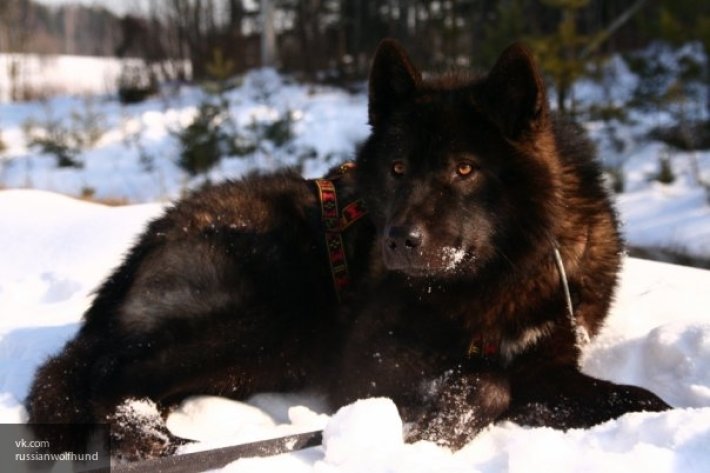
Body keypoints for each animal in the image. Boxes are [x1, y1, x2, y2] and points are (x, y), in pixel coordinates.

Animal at [29, 40, 672, 458]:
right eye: (397, 168)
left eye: (464, 169)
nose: (397, 241)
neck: (494, 279)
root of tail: (147, 241)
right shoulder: (369, 367)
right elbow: (491, 384)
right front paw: (438, 430)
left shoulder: (550, 362)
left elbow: (638, 399)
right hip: (264, 317)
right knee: (106, 374)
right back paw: (152, 440)